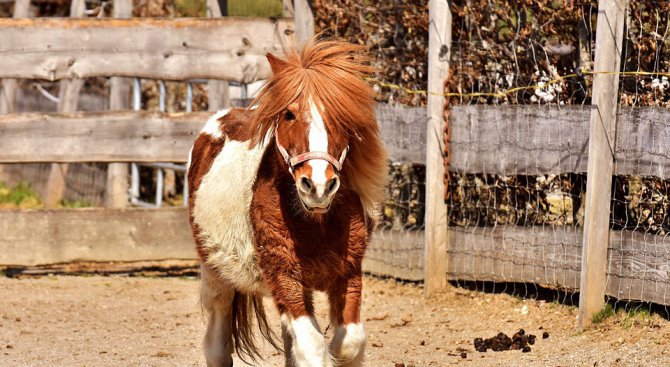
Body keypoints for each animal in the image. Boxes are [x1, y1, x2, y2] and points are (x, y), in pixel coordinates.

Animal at [188, 37, 388, 367]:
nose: (318, 186)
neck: (316, 224)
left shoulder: (348, 275)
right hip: (217, 273)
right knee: (216, 342)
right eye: (289, 114)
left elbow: (349, 342)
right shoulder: (286, 279)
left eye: (342, 116)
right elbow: (312, 345)